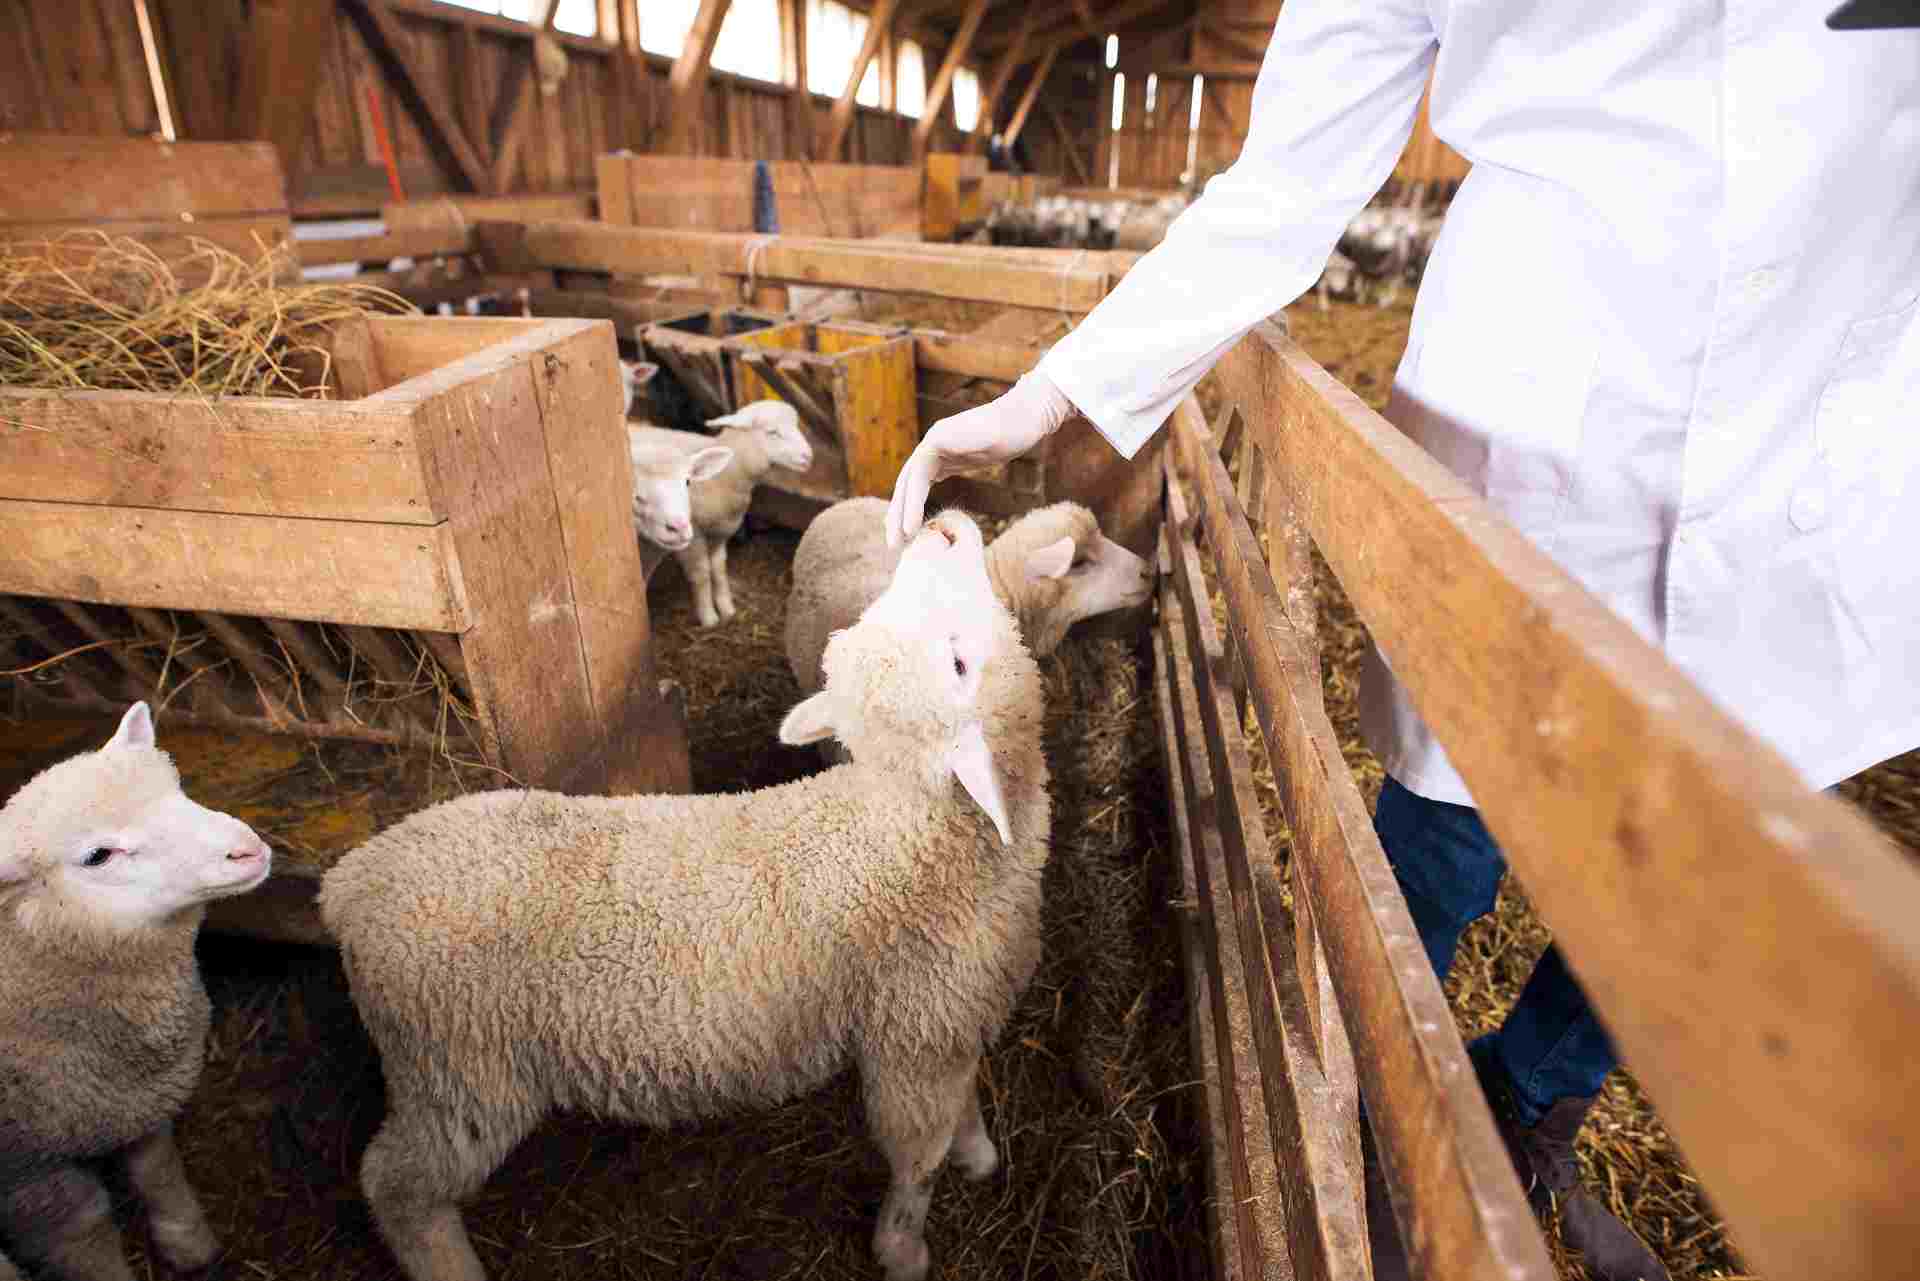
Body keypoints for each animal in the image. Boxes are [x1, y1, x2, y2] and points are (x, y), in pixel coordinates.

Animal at [0, 703, 271, 1281]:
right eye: (98, 855)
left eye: (179, 788)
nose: (246, 851)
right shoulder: (28, 1171)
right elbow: (84, 1231)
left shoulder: (138, 1099)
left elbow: (157, 1169)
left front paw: (188, 1243)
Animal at [319, 509, 1050, 1281]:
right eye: (959, 665)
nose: (940, 528)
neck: (913, 822)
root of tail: (352, 879)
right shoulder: (914, 1036)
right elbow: (917, 1159)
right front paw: (903, 1248)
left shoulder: (953, 1017)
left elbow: (963, 1102)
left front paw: (978, 1153)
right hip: (459, 1069)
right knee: (395, 1185)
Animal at [629, 400, 814, 627]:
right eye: (772, 432)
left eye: (688, 481)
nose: (809, 456)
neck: (728, 474)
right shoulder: (695, 536)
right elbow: (702, 574)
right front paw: (708, 616)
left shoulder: (720, 532)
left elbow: (718, 569)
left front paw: (727, 609)